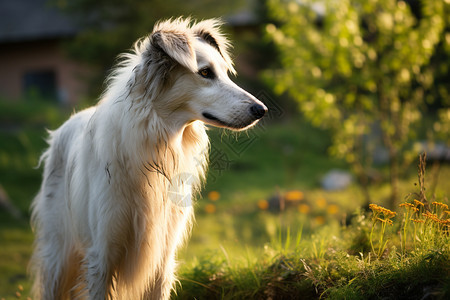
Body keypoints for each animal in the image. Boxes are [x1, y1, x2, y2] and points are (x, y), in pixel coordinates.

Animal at [29, 18, 268, 300]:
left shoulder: (162, 255)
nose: (262, 110)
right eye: (205, 73)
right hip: (59, 254)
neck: (157, 146)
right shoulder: (102, 255)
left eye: (224, 72)